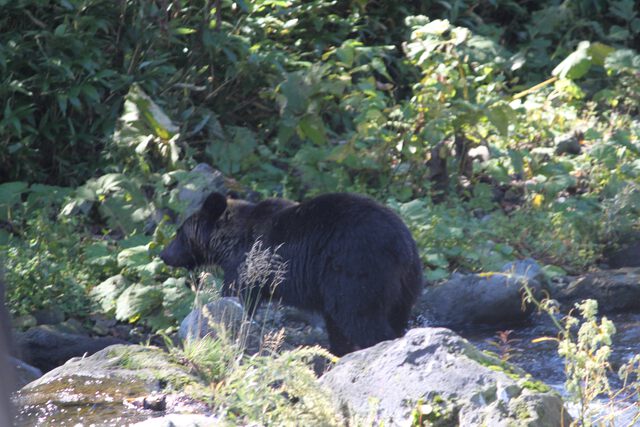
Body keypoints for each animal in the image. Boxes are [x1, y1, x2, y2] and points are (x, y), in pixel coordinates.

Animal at [160, 192, 422, 356]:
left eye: (179, 233)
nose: (164, 254)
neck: (230, 243)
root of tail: (403, 244)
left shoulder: (249, 265)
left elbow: (237, 297)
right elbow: (333, 324)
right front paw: (337, 349)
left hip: (357, 268)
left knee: (360, 315)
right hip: (404, 285)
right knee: (390, 315)